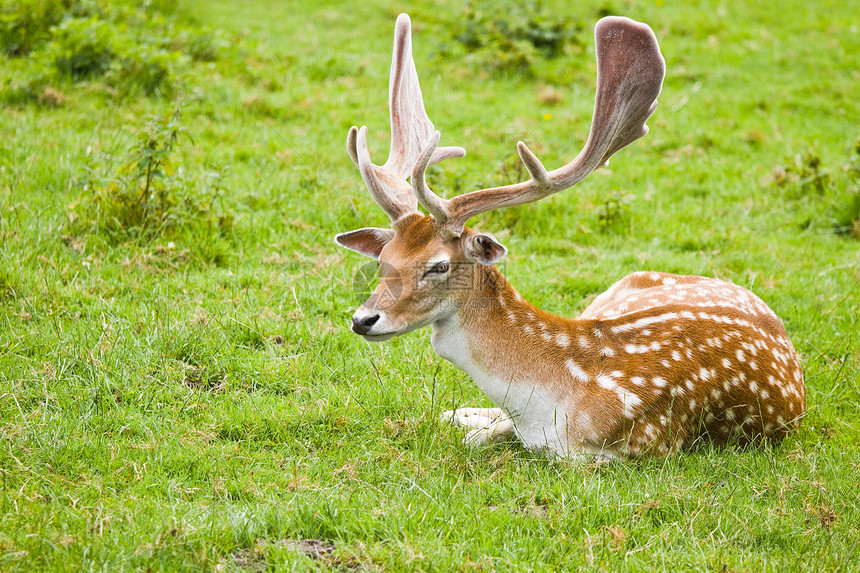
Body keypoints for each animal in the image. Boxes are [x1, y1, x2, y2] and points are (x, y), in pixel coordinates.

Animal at [332, 13, 804, 458]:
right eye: (384, 260)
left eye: (439, 265)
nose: (362, 320)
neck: (553, 404)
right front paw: (460, 419)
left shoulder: (647, 444)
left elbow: (490, 437)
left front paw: (473, 427)